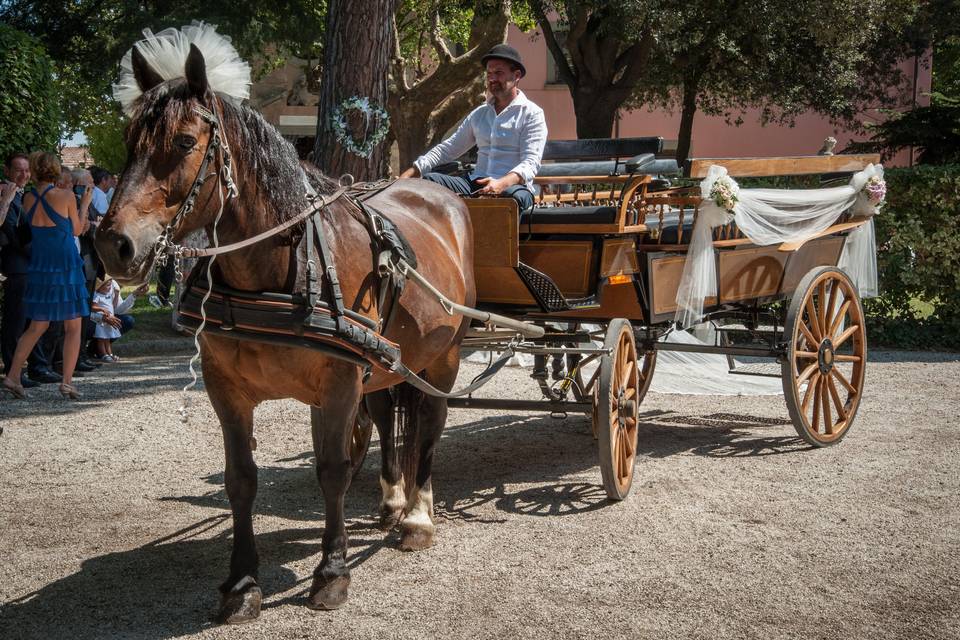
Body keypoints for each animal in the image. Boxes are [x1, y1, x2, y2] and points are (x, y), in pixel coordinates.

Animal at [94, 43, 476, 620]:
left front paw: (332, 572)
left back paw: (417, 517)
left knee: (429, 424)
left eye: (184, 142)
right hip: (386, 359)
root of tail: (438, 193)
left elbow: (333, 470)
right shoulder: (226, 389)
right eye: (128, 139)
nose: (112, 245)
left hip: (442, 355)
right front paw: (241, 582)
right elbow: (241, 478)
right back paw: (392, 500)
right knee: (388, 415)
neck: (283, 268)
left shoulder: (339, 385)